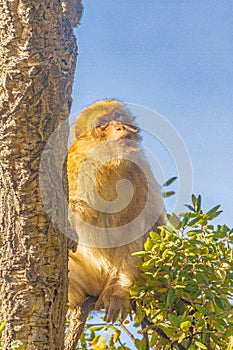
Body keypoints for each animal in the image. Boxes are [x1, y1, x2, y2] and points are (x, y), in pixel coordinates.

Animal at [67, 98, 166, 322]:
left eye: (117, 117)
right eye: (103, 124)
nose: (120, 126)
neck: (111, 163)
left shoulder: (138, 169)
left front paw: (119, 290)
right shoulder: (75, 162)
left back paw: (116, 289)